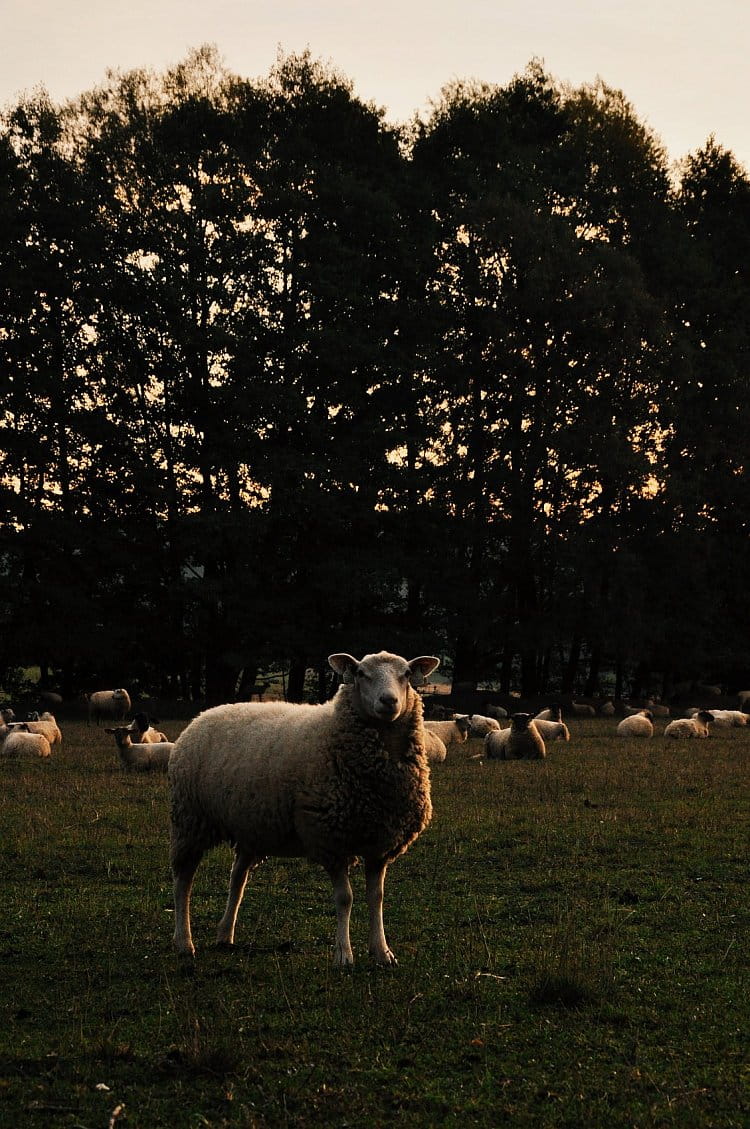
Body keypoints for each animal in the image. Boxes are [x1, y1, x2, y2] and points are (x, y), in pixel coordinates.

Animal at [168, 650, 440, 966]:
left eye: (406, 674)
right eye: (361, 673)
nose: (389, 701)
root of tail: (203, 715)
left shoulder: (379, 843)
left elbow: (377, 898)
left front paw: (382, 952)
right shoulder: (330, 840)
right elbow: (345, 899)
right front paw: (344, 955)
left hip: (250, 827)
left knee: (237, 878)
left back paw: (225, 934)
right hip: (190, 820)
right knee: (183, 881)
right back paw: (184, 942)